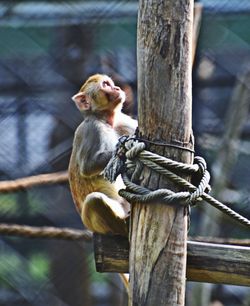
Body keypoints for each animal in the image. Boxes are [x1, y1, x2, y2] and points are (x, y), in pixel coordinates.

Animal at [69, 73, 137, 237]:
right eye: (105, 85)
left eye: (110, 83)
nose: (117, 88)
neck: (105, 119)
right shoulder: (92, 129)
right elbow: (88, 167)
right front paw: (124, 149)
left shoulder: (122, 121)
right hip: (94, 224)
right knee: (94, 200)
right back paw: (123, 227)